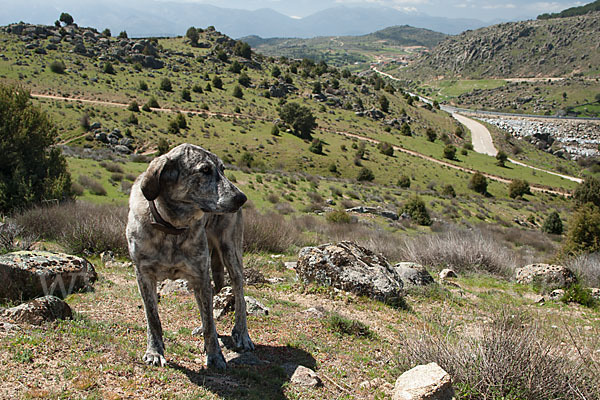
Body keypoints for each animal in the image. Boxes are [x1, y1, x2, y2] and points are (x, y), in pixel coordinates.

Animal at [127, 143, 254, 368]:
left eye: (223, 169)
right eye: (205, 170)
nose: (241, 198)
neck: (172, 227)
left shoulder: (200, 273)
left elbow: (210, 323)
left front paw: (215, 356)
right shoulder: (143, 274)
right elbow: (152, 317)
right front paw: (154, 351)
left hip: (230, 251)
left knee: (238, 292)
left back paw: (242, 334)